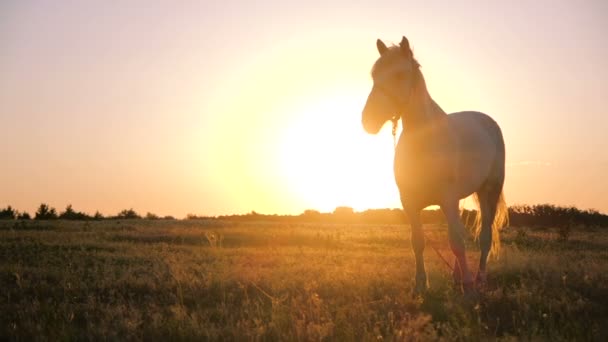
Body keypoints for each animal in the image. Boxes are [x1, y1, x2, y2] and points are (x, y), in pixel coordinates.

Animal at [360, 36, 508, 296]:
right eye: (374, 76)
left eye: (400, 74)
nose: (368, 120)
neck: (424, 141)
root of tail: (487, 121)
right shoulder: (409, 202)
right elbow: (417, 242)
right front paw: (420, 284)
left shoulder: (447, 198)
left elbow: (457, 241)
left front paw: (468, 287)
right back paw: (457, 276)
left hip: (488, 191)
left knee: (484, 237)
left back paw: (478, 279)